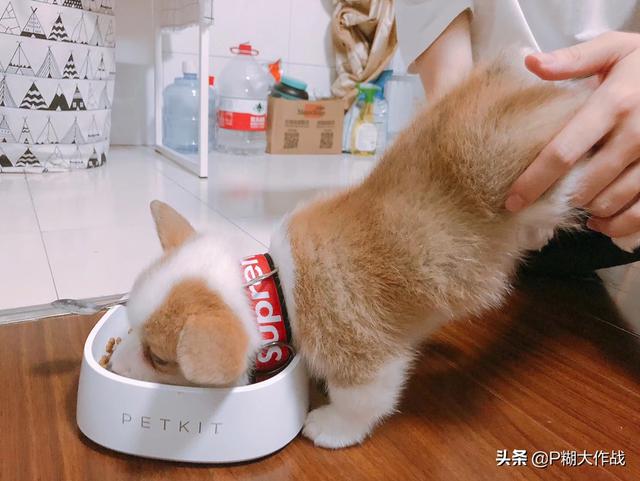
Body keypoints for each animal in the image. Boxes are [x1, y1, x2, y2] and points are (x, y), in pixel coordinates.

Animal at [110, 57, 638, 449]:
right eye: (131, 328)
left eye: (159, 359)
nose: (114, 366)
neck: (272, 293)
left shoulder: (365, 359)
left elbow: (361, 402)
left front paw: (330, 428)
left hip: (533, 160)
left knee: (582, 171)